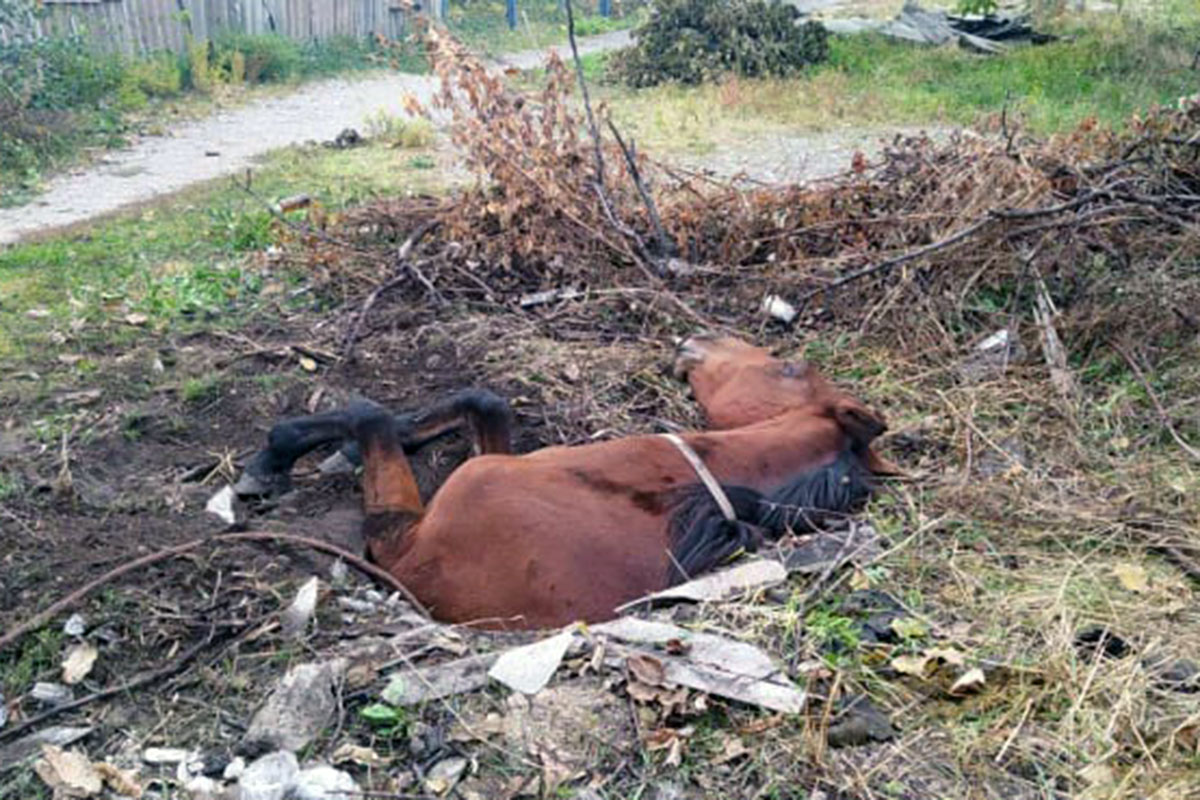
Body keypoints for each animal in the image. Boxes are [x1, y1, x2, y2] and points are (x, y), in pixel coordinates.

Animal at [238, 335, 902, 628]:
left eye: (786, 365)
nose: (697, 339)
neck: (702, 485)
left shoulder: (401, 537)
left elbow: (370, 414)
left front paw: (276, 454)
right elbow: (484, 402)